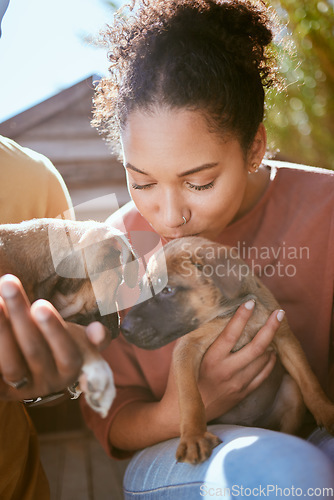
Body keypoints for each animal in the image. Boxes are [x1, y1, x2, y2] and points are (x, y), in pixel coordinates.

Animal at [122, 238, 334, 464]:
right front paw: (194, 437)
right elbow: (190, 398)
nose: (123, 329)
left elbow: (309, 380)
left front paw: (326, 411)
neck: (228, 313)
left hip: (291, 391)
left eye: (167, 289)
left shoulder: (284, 337)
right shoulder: (186, 349)